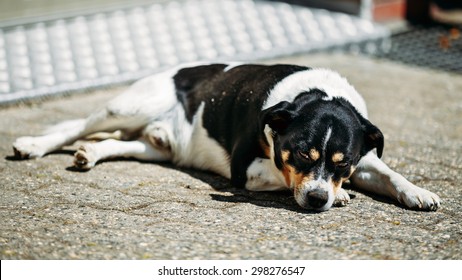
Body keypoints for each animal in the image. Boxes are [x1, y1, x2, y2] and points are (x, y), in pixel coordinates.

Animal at [13, 62, 440, 211]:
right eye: (302, 154)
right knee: (77, 126)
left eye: (343, 162)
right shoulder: (246, 168)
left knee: (119, 142)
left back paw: (90, 155)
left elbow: (390, 174)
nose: (319, 200)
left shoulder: (365, 158)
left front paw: (419, 193)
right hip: (129, 107)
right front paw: (342, 194)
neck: (317, 93)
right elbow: (281, 175)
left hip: (155, 148)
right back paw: (33, 145)